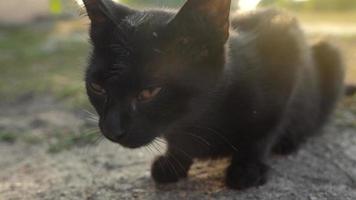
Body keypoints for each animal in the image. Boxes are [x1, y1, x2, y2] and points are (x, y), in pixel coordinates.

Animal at [82, 0, 344, 190]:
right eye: (97, 87)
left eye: (149, 92)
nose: (110, 129)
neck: (200, 120)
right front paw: (173, 161)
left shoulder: (284, 45)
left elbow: (264, 133)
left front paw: (247, 168)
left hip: (330, 52)